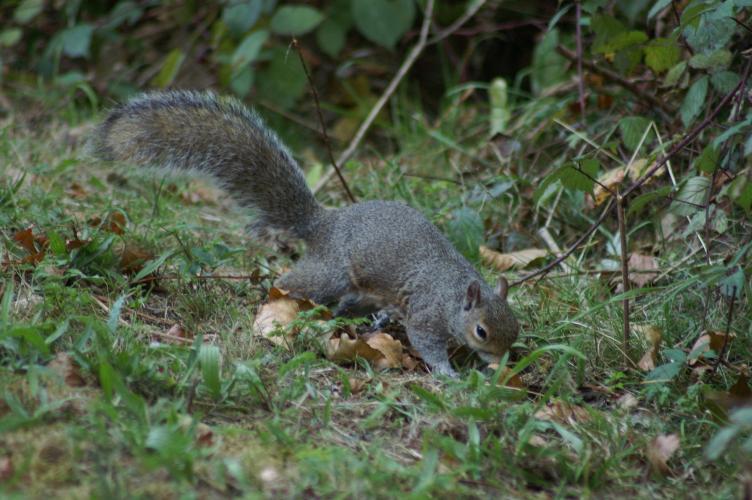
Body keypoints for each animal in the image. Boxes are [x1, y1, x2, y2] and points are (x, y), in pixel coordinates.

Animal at [92, 90, 519, 377]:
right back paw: (277, 303)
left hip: (362, 291)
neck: (454, 292)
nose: (501, 362)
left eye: (514, 329)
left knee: (348, 305)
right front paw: (448, 373)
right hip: (330, 272)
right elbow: (426, 343)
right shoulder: (428, 314)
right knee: (290, 281)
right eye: (481, 331)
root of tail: (322, 225)